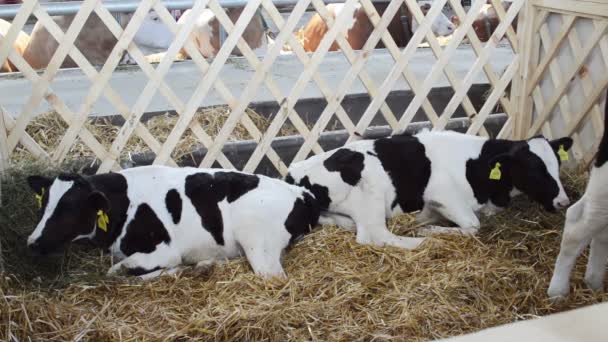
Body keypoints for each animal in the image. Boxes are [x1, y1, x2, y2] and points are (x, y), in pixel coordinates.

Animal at [25, 164, 318, 280]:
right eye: (43, 204)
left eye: (69, 209)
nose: (33, 242)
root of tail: (301, 193)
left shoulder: (165, 251)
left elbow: (118, 271)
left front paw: (176, 271)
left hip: (258, 243)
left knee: (272, 275)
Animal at [288, 128, 572, 248]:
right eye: (534, 170)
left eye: (557, 164)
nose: (563, 202)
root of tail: (294, 172)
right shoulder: (443, 195)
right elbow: (473, 227)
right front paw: (430, 229)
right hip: (372, 194)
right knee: (376, 236)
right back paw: (422, 241)